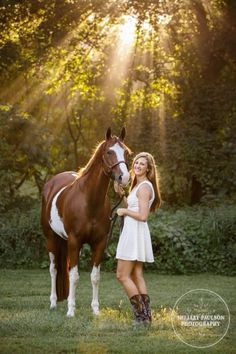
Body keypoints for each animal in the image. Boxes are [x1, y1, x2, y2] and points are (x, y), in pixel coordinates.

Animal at [39, 129, 130, 316]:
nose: (124, 177)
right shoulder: (75, 241)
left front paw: (95, 310)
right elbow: (74, 276)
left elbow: (95, 277)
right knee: (54, 269)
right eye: (109, 152)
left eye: (126, 152)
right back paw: (53, 303)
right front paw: (71, 311)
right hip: (51, 239)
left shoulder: (99, 243)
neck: (89, 202)